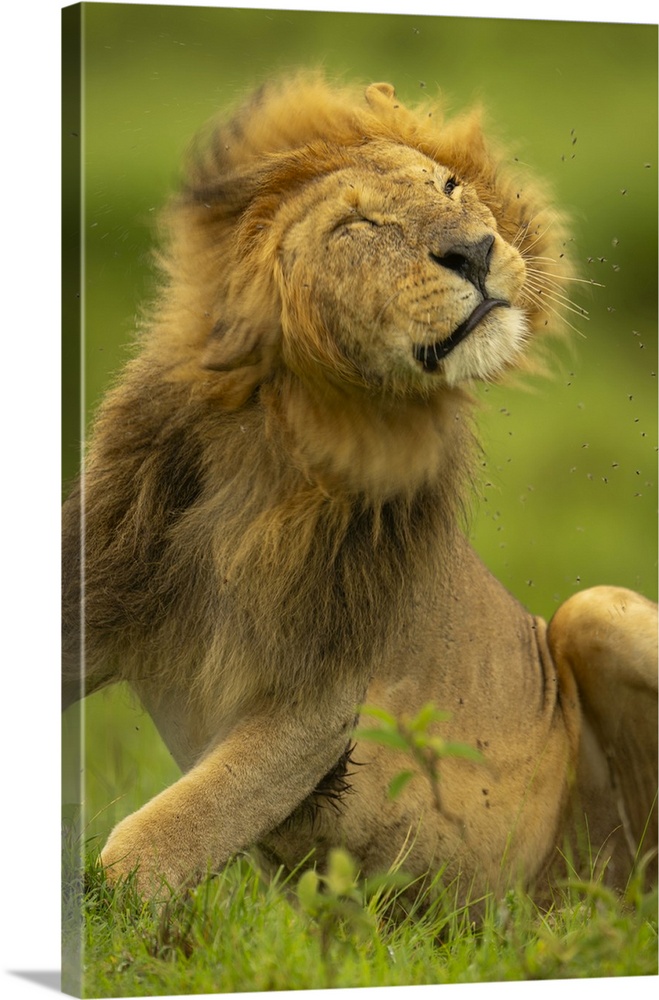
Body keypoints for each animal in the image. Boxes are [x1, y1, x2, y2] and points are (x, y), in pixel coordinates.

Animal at [62, 74, 658, 908]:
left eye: (449, 187)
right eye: (358, 226)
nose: (475, 250)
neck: (271, 444)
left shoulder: (321, 695)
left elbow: (149, 846)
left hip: (598, 610)